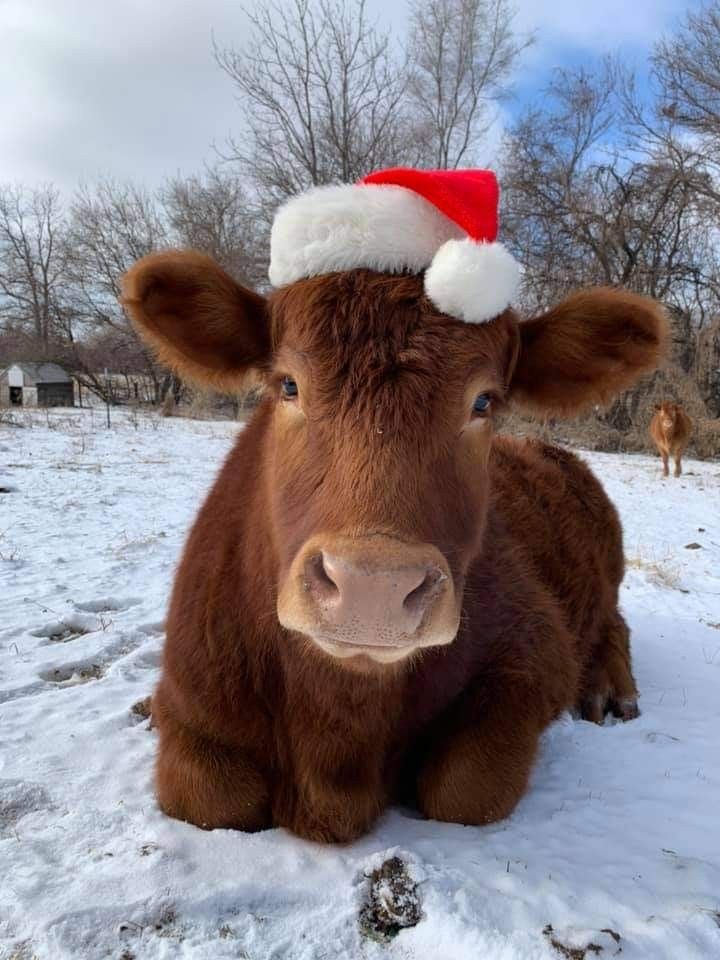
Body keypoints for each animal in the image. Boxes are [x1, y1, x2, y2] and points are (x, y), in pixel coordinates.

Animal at [121, 251, 668, 844]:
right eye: (288, 385)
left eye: (483, 402)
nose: (373, 587)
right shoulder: (193, 693)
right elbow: (209, 797)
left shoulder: (537, 650)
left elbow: (466, 789)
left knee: (614, 623)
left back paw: (611, 689)